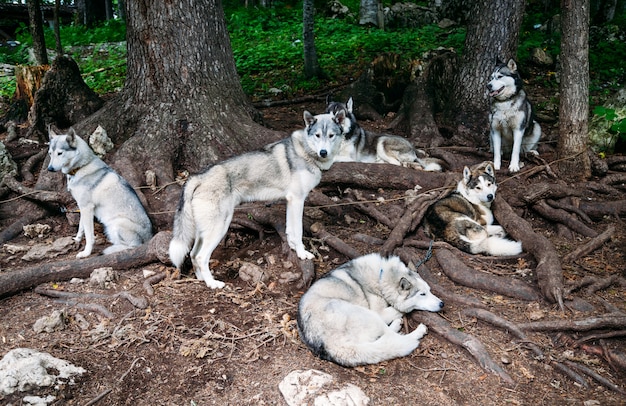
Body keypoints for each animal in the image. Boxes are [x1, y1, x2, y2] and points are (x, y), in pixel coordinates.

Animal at [46, 128, 152, 258]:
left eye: (60, 153)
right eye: (50, 153)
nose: (49, 169)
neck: (80, 167)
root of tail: (149, 238)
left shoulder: (87, 208)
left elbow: (89, 236)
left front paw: (86, 253)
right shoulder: (83, 208)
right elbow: (81, 228)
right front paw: (77, 240)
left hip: (117, 224)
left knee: (132, 246)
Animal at [168, 111, 344, 288]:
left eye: (331, 135)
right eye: (317, 135)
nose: (323, 152)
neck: (305, 151)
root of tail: (198, 177)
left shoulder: (291, 201)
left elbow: (290, 231)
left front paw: (293, 248)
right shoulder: (298, 200)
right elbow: (298, 231)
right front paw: (302, 254)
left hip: (204, 232)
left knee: (192, 254)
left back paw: (201, 279)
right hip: (220, 228)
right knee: (200, 257)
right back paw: (212, 283)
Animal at [296, 254, 438, 368]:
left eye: (430, 291)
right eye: (423, 294)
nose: (441, 304)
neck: (381, 276)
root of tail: (329, 345)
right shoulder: (380, 312)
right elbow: (402, 308)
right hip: (369, 314)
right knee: (391, 336)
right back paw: (416, 330)